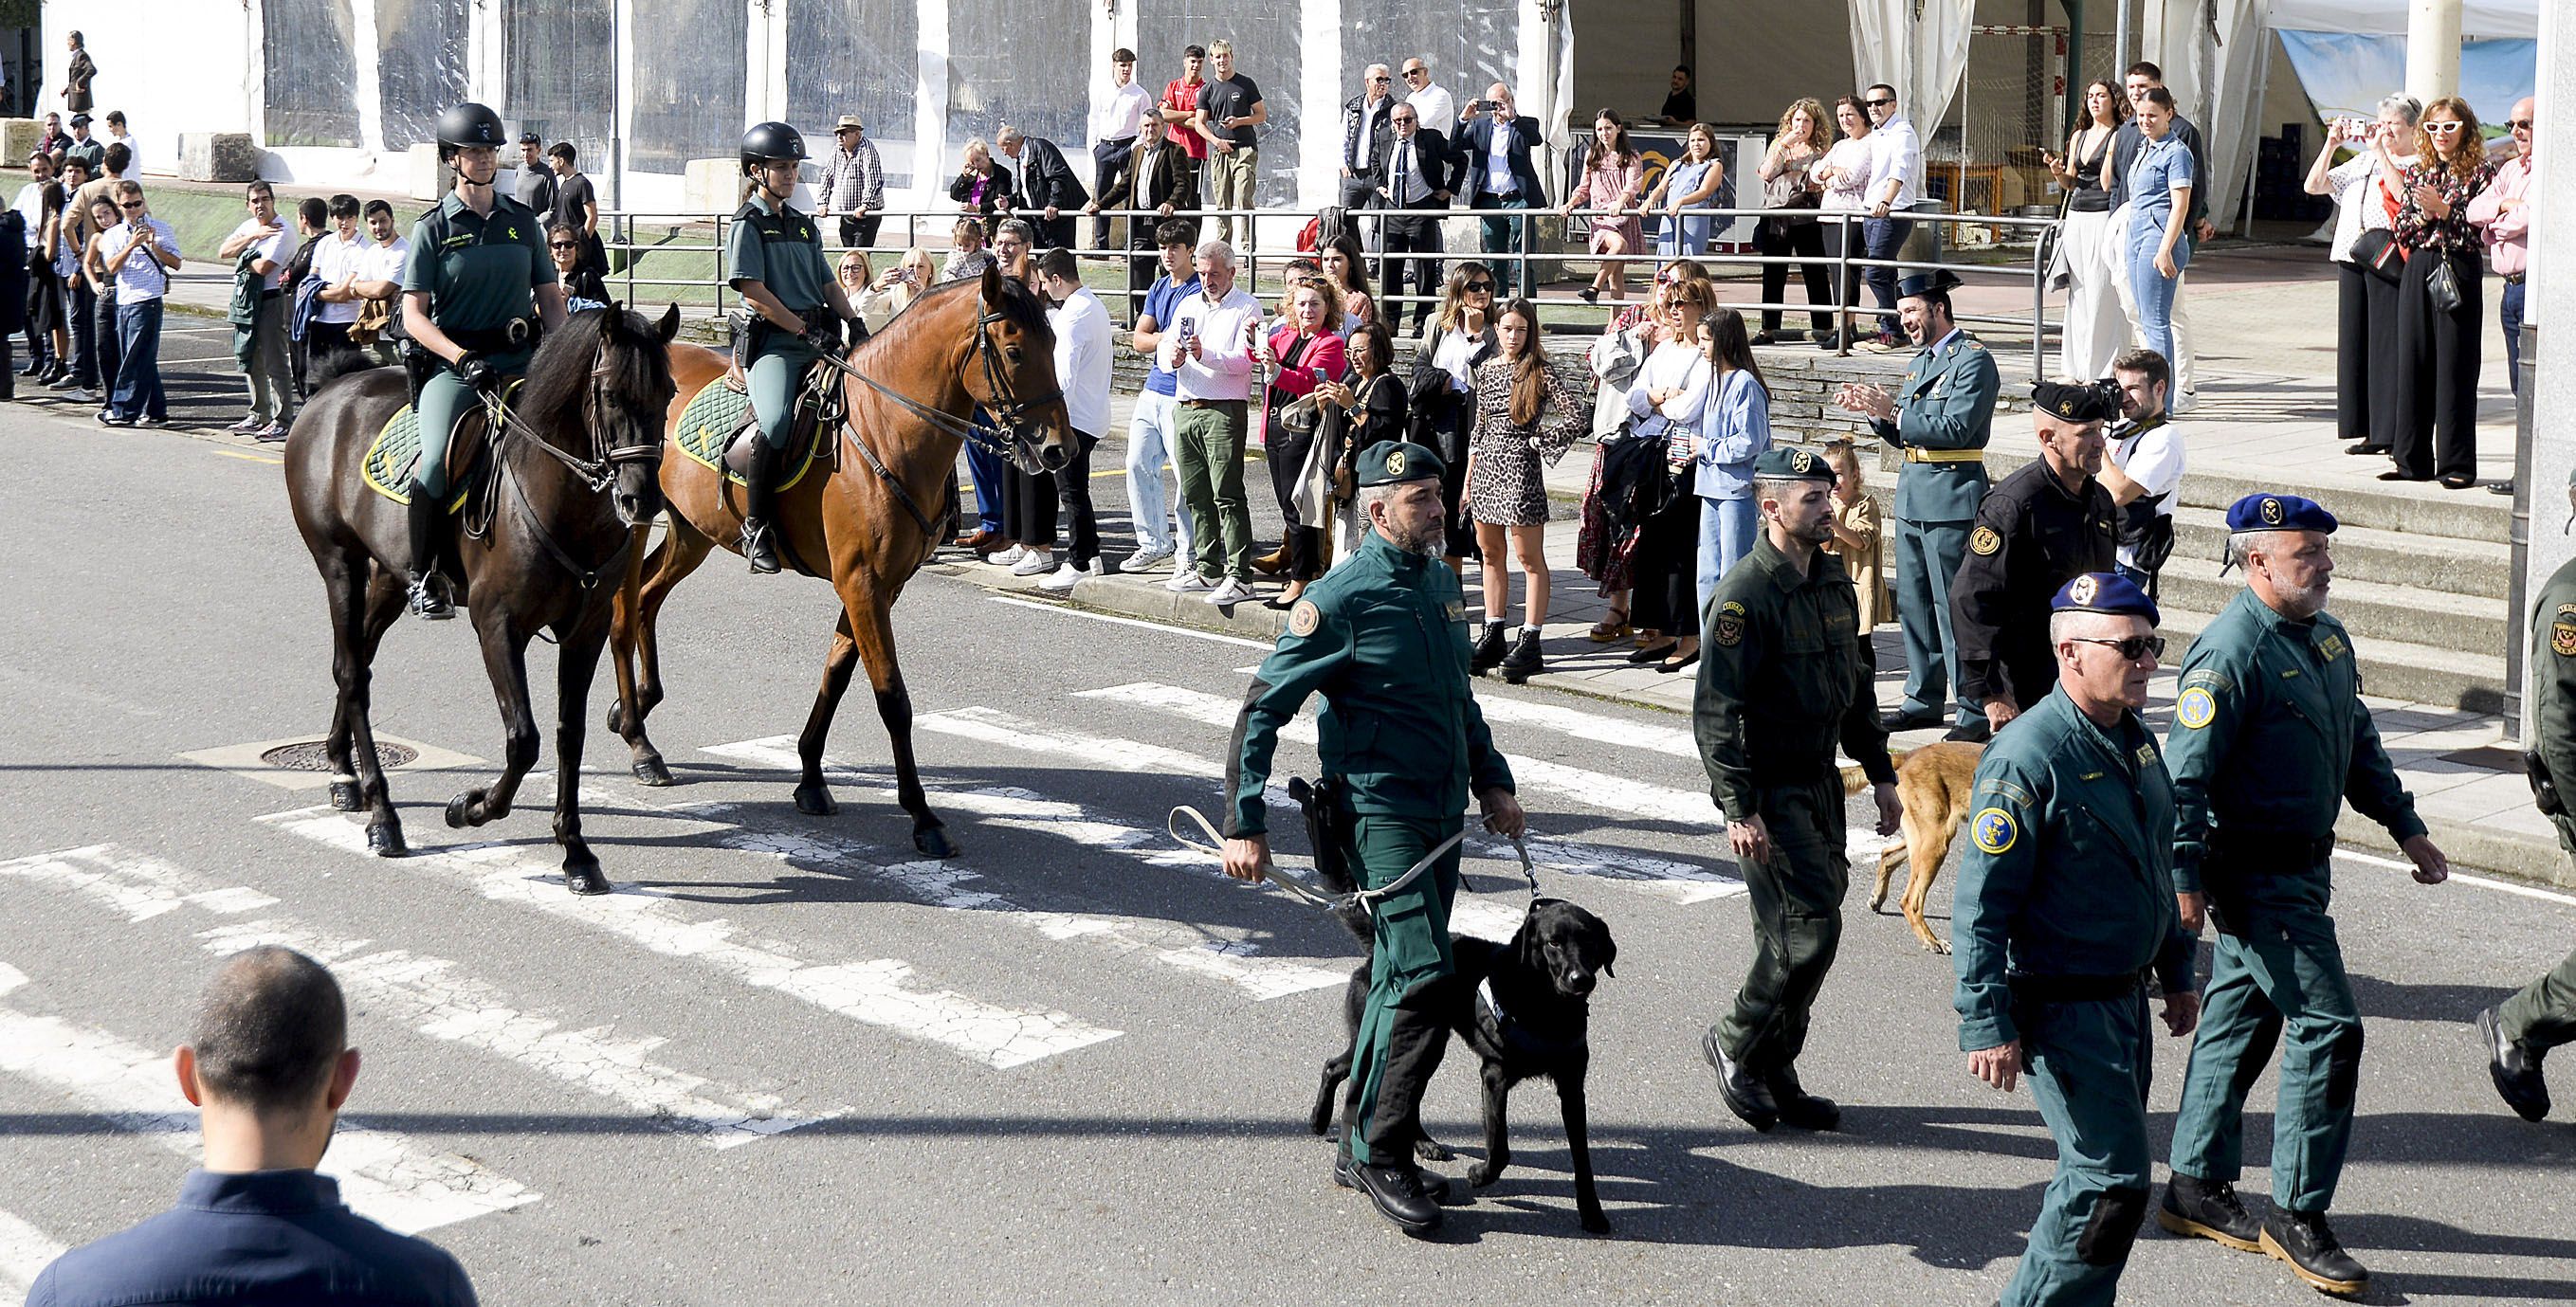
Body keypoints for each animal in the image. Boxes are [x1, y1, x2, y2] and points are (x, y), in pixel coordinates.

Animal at [285, 304, 680, 895]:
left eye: (669, 392)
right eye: (610, 393)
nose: (642, 498)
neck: (558, 499)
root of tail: (332, 390)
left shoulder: (583, 632)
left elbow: (569, 735)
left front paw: (576, 852)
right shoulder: (498, 626)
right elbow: (524, 739)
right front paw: (470, 807)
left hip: (389, 580)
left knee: (358, 662)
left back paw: (341, 770)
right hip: (339, 567)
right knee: (352, 675)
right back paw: (382, 816)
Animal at [610, 264, 1066, 859]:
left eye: (1054, 343)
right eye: (1013, 351)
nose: (1059, 448)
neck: (884, 429)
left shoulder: (878, 586)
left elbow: (837, 674)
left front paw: (809, 777)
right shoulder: (862, 583)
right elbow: (892, 698)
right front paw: (922, 816)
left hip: (692, 534)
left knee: (646, 599)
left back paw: (636, 707)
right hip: (635, 520)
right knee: (622, 613)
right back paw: (639, 741)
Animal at [1319, 900, 1617, 1234]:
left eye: (1590, 941)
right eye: (1553, 942)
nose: (1581, 979)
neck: (1547, 1005)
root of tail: (1379, 950)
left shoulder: (1572, 1088)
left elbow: (1583, 1158)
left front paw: (1592, 1212)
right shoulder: (1494, 1075)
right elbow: (1499, 1146)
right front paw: (1481, 1175)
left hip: (1430, 1042)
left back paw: (1423, 1143)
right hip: (1378, 1039)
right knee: (1335, 1067)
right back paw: (1319, 1120)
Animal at [1865, 746, 1978, 952]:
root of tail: (1912, 754)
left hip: (1923, 839)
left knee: (1887, 854)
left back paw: (1877, 898)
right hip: (1935, 842)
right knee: (1910, 901)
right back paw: (1930, 940)